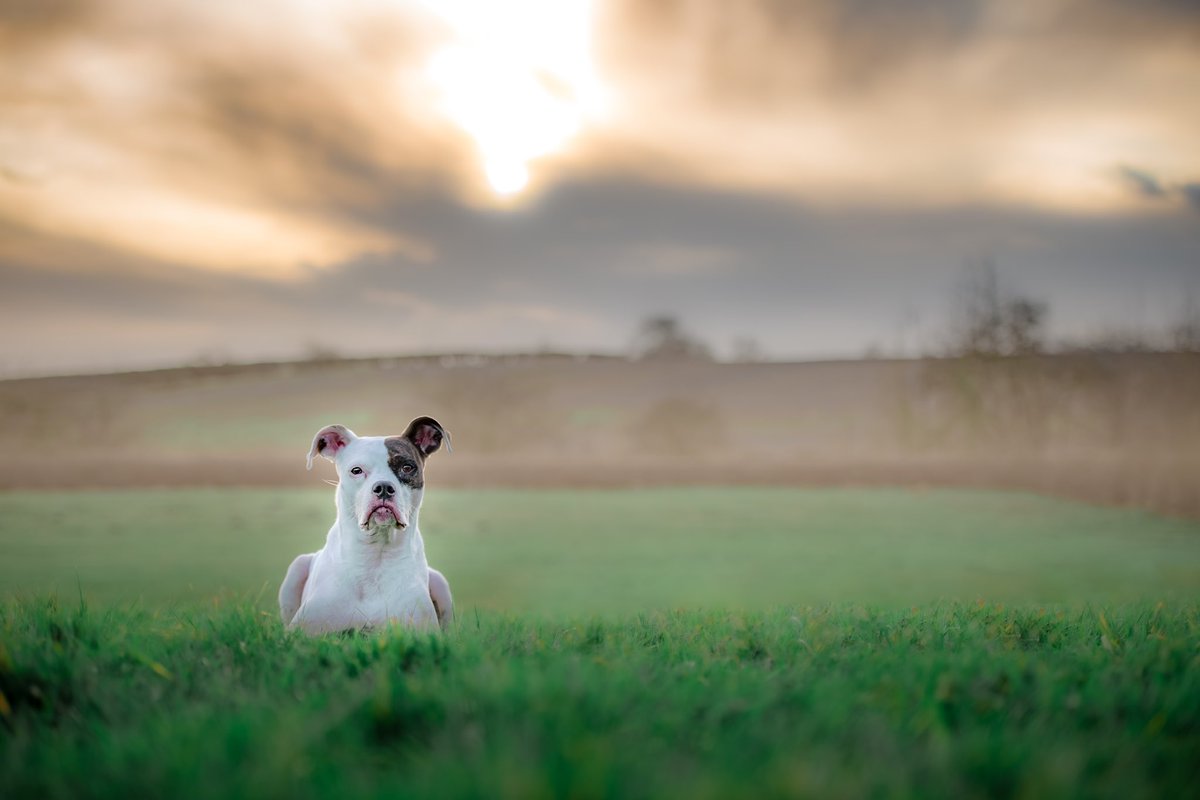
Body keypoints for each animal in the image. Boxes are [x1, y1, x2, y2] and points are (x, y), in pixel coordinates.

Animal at [278, 417, 456, 633]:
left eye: (407, 467)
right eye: (356, 470)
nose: (384, 487)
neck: (375, 557)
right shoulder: (302, 630)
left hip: (440, 581)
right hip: (297, 567)